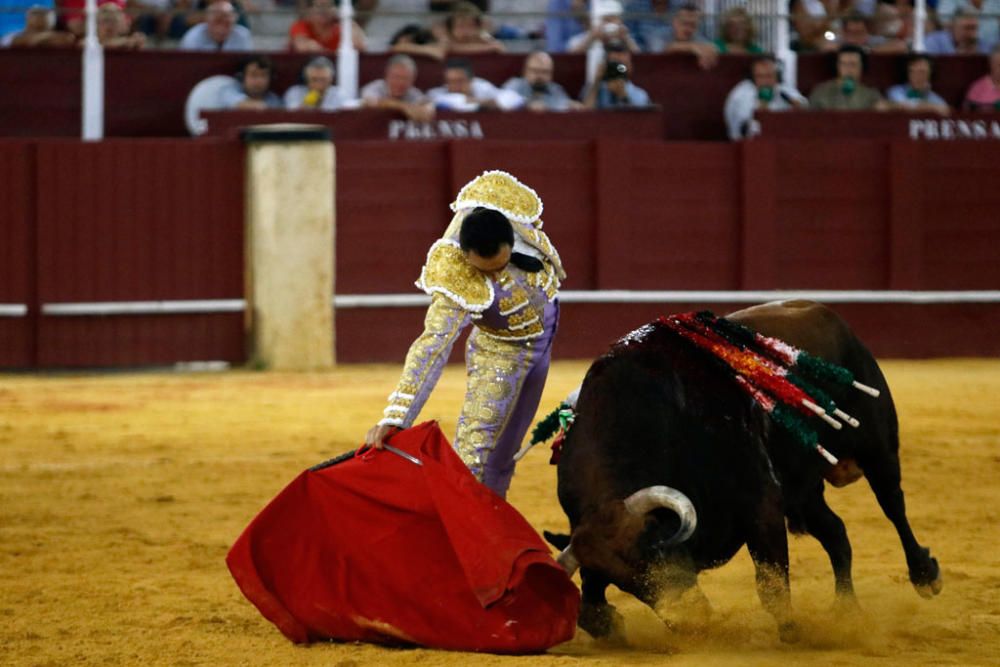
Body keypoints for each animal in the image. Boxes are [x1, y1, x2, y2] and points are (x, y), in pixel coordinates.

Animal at [552, 302, 940, 640]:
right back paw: (847, 612)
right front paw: (609, 624)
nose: (693, 620)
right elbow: (590, 599)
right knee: (837, 534)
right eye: (631, 586)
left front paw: (794, 633)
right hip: (802, 491)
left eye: (657, 552)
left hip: (878, 448)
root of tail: (826, 313)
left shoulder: (760, 503)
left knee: (893, 506)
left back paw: (925, 574)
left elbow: (771, 583)